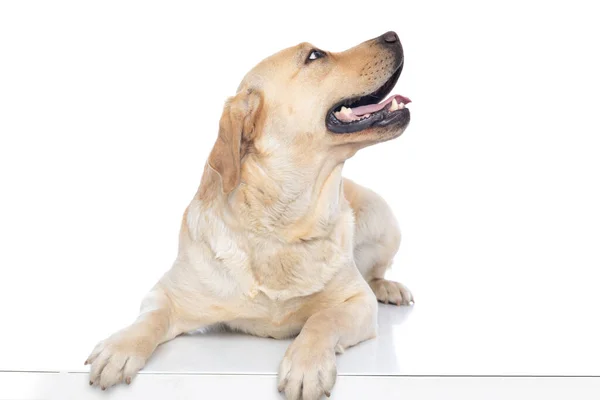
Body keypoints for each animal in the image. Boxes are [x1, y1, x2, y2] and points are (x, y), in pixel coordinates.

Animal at [85, 32, 412, 400]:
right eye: (315, 56)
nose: (393, 35)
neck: (283, 225)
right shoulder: (166, 293)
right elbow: (150, 319)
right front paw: (119, 347)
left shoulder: (357, 301)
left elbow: (322, 320)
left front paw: (306, 364)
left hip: (384, 218)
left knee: (375, 273)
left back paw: (389, 287)